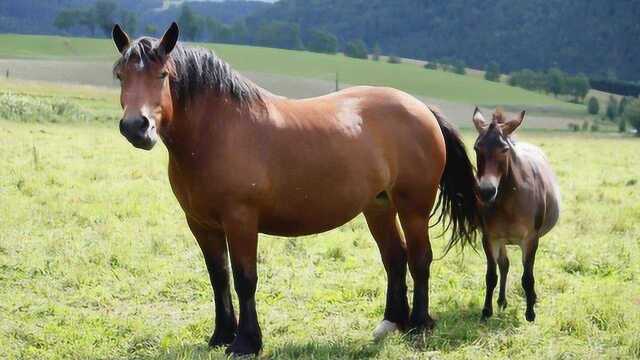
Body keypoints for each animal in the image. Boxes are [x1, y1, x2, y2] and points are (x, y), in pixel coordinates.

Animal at [111, 23, 480, 358]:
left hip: (413, 207)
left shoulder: (240, 220)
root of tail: (421, 108)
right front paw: (220, 336)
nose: (136, 127)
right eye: (120, 76)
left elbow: (245, 278)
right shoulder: (201, 224)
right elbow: (219, 277)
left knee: (420, 258)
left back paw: (419, 326)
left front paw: (246, 343)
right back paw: (390, 323)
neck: (217, 132)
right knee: (395, 256)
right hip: (379, 206)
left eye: (162, 75)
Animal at [470, 108, 560, 322]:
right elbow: (491, 276)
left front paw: (530, 313)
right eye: (477, 148)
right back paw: (502, 301)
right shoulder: (490, 238)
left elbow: (527, 277)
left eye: (504, 149)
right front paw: (486, 311)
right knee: (504, 265)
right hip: (502, 240)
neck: (508, 201)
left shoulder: (530, 239)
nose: (486, 191)